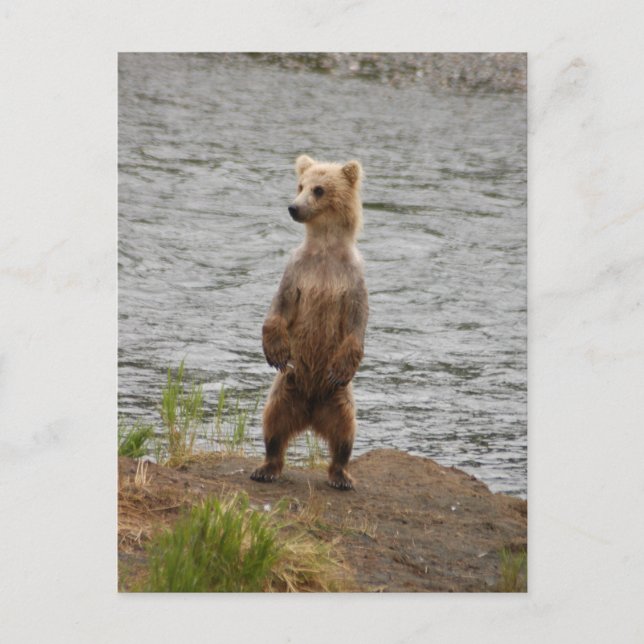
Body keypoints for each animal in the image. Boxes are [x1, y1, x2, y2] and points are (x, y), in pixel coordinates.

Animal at [250, 154, 369, 490]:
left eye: (319, 189)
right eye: (300, 185)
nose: (293, 207)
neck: (325, 249)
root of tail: (312, 414)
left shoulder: (351, 278)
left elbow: (356, 322)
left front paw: (341, 366)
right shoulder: (298, 270)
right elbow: (279, 307)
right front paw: (275, 352)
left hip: (340, 397)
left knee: (345, 433)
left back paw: (341, 475)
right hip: (286, 387)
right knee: (273, 424)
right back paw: (266, 467)